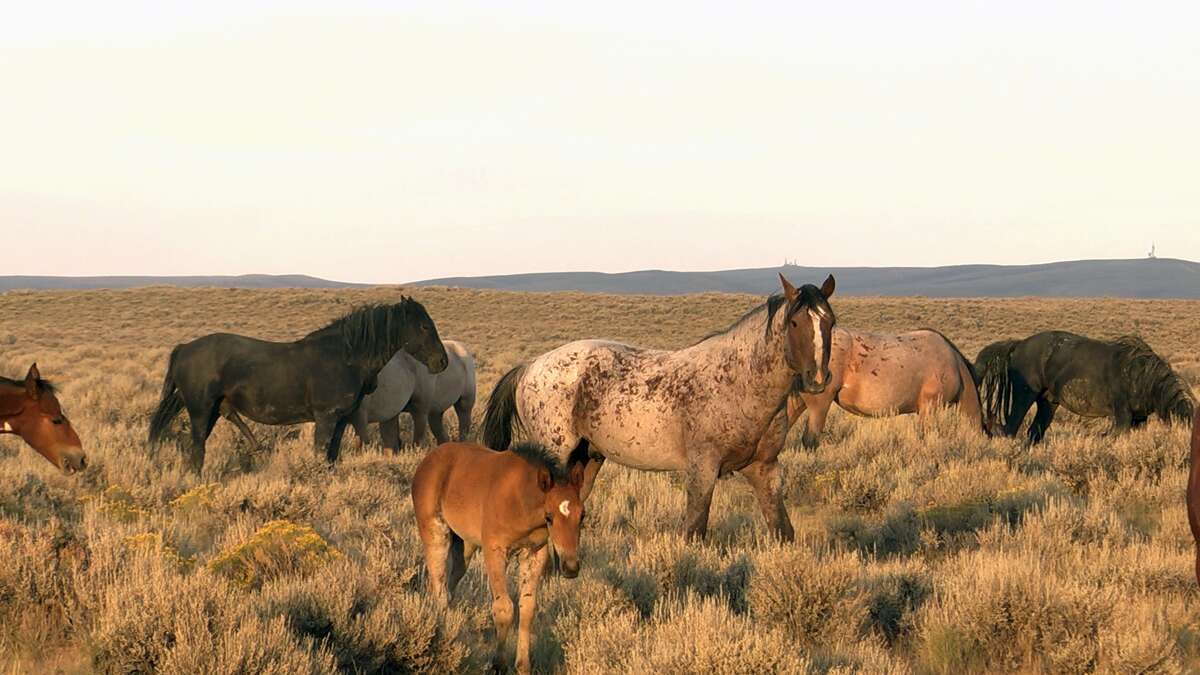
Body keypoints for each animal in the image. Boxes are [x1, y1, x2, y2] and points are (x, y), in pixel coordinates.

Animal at [147, 299, 448, 472]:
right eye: (424, 326)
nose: (442, 362)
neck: (344, 356)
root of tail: (184, 348)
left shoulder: (341, 421)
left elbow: (332, 457)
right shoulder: (325, 418)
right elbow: (320, 453)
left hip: (211, 411)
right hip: (200, 411)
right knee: (197, 449)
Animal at [412, 441, 586, 675]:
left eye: (582, 515)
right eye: (549, 517)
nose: (570, 567)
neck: (519, 500)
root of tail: (428, 458)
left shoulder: (534, 553)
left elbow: (527, 608)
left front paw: (523, 666)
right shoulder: (494, 550)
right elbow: (504, 608)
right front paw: (498, 665)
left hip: (465, 545)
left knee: (448, 586)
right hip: (435, 533)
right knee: (439, 587)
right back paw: (444, 635)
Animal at [482, 274, 836, 541]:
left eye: (830, 322)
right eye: (794, 323)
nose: (818, 378)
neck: (740, 382)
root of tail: (530, 366)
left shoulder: (765, 469)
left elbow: (782, 530)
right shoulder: (702, 470)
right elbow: (694, 532)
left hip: (588, 458)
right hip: (556, 453)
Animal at [974, 331, 1194, 445]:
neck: (1143, 376)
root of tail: (1019, 345)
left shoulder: (1139, 419)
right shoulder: (1122, 414)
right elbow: (1114, 435)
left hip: (1048, 403)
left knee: (1034, 432)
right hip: (1023, 397)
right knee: (1010, 429)